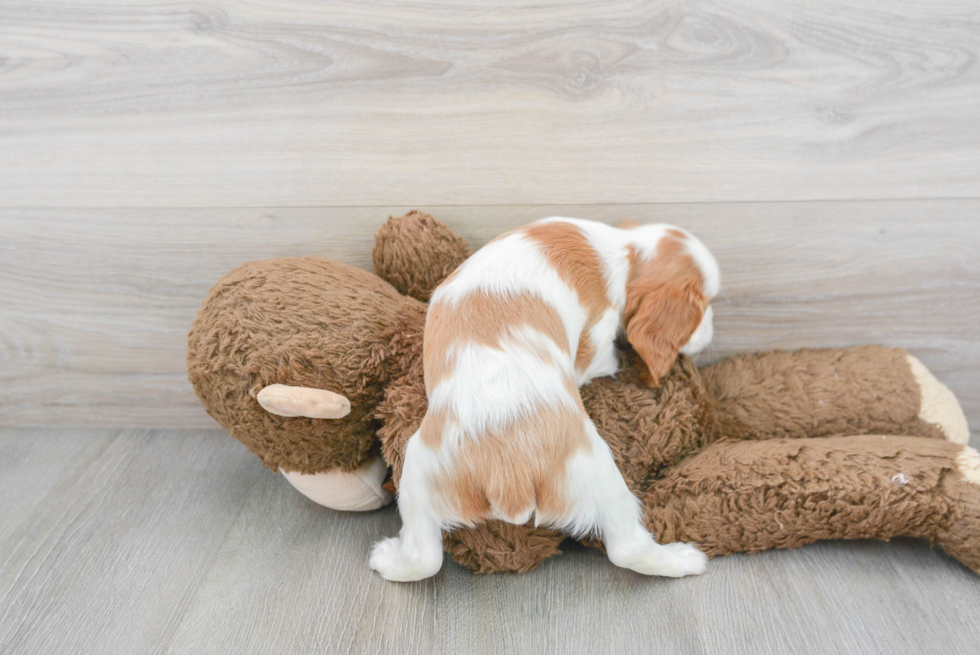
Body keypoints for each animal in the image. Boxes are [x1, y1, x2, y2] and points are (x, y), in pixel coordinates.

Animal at [368, 218, 720, 580]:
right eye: (706, 303)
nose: (711, 331)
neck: (625, 249)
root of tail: (508, 470)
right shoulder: (595, 340)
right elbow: (600, 359)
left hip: (420, 473)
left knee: (425, 558)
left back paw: (386, 560)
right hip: (598, 476)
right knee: (628, 549)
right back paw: (685, 558)